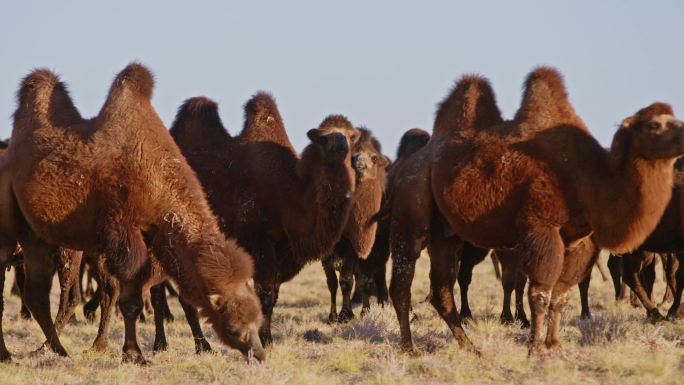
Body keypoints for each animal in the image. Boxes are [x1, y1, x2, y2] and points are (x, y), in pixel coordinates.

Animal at [0, 63, 264, 364]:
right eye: (233, 327)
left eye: (258, 321)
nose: (258, 353)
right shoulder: (123, 234)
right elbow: (130, 302)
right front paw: (134, 354)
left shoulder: (151, 239)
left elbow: (137, 297)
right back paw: (25, 352)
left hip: (39, 238)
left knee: (37, 294)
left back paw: (55, 349)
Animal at [172, 92, 358, 342]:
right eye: (322, 138)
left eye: (350, 135)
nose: (340, 145)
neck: (289, 192)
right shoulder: (258, 240)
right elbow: (266, 293)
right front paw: (265, 339)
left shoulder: (283, 249)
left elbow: (274, 294)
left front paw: (265, 336)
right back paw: (197, 345)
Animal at [322, 127, 388, 322]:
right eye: (351, 155)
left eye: (374, 157)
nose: (358, 163)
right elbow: (332, 282)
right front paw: (333, 315)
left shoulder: (355, 247)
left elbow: (349, 280)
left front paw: (348, 314)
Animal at [384, 67, 684, 356]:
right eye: (655, 124)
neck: (590, 177)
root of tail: (404, 166)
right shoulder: (542, 227)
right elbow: (540, 292)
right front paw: (534, 347)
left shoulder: (579, 241)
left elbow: (561, 295)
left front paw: (554, 344)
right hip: (412, 209)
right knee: (402, 281)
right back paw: (409, 347)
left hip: (445, 234)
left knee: (441, 289)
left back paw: (471, 347)